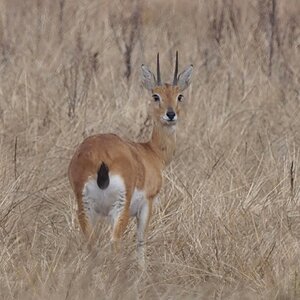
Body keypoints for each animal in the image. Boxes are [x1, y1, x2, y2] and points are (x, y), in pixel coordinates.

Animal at [68, 52, 192, 264]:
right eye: (155, 95)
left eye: (179, 95)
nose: (170, 114)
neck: (151, 153)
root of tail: (99, 157)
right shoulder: (147, 205)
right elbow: (141, 241)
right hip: (120, 208)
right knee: (115, 241)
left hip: (86, 208)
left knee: (91, 243)